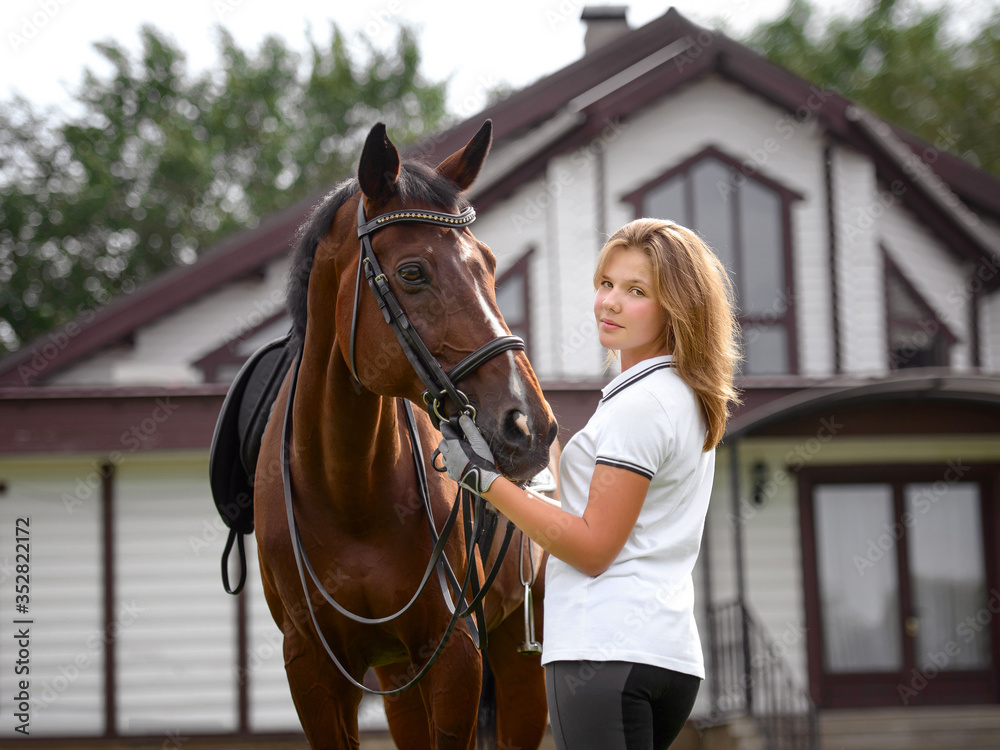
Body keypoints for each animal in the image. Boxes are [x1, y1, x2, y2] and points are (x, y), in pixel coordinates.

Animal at [253, 120, 558, 749]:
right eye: (412, 272)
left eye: (489, 263)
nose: (529, 424)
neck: (348, 490)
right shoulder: (314, 669)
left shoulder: (455, 653)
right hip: (397, 675)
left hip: (519, 661)